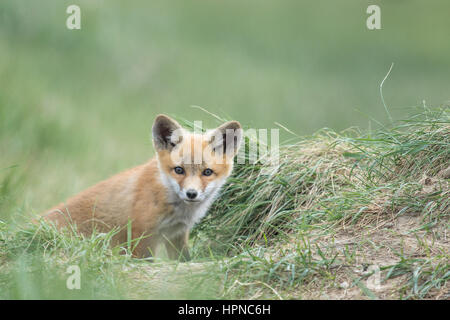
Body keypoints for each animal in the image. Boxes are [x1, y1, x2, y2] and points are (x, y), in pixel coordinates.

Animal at [41, 115, 243, 260]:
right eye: (179, 170)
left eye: (207, 172)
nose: (191, 194)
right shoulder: (142, 234)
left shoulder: (177, 235)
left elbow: (183, 261)